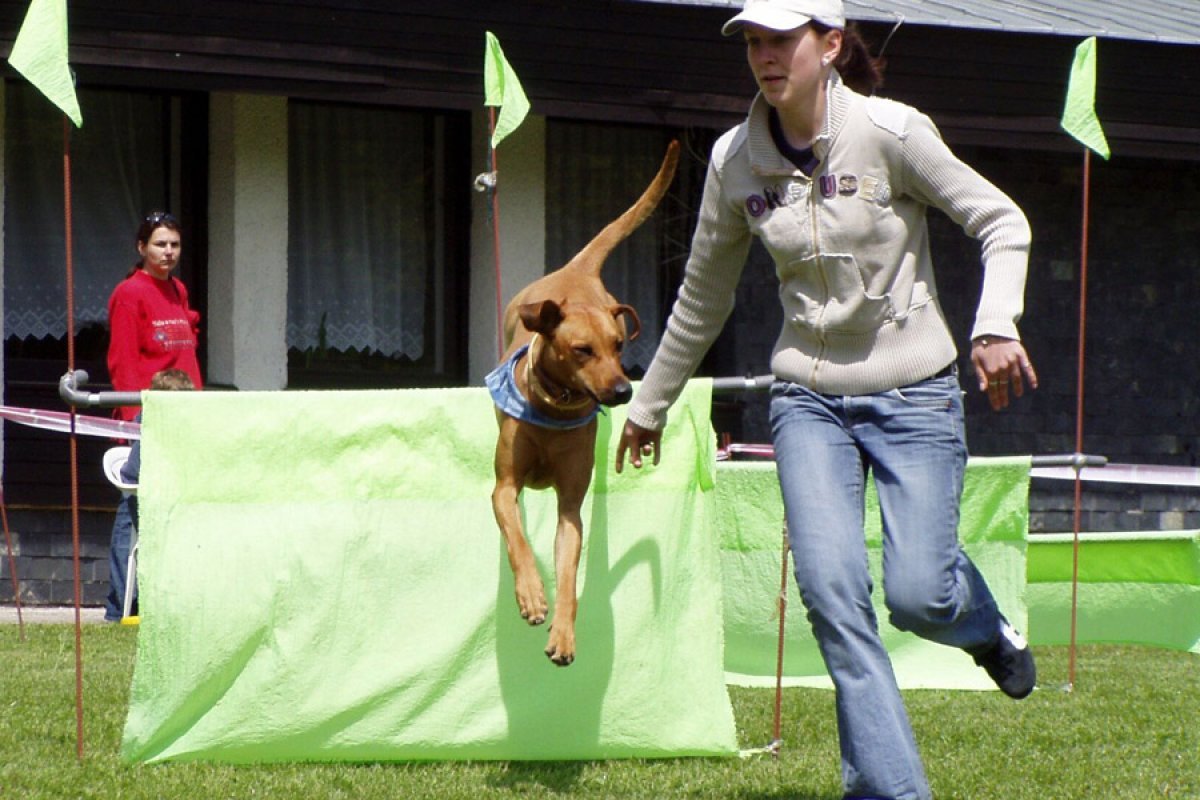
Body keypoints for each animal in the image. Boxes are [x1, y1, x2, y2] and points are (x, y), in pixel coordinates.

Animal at [484, 140, 676, 666]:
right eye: (582, 350)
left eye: (618, 347)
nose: (623, 391)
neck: (554, 408)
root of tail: (575, 270)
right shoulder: (504, 487)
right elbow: (516, 537)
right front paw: (532, 595)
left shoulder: (571, 505)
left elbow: (569, 571)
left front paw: (564, 634)